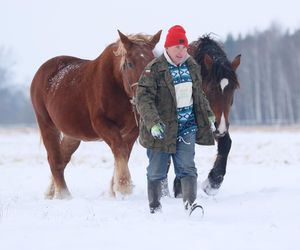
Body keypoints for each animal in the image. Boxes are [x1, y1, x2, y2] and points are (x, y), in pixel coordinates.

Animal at [30, 30, 161, 198]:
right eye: (130, 63)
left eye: (152, 62)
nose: (145, 93)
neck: (116, 84)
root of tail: (41, 72)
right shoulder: (102, 124)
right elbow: (120, 150)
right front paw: (123, 186)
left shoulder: (132, 131)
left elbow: (124, 154)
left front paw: (114, 189)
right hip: (47, 124)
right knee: (54, 159)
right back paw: (63, 194)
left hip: (72, 134)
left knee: (62, 158)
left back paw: (51, 192)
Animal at [172, 36, 240, 197]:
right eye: (210, 88)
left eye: (233, 88)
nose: (220, 126)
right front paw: (179, 188)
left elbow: (226, 145)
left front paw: (213, 182)